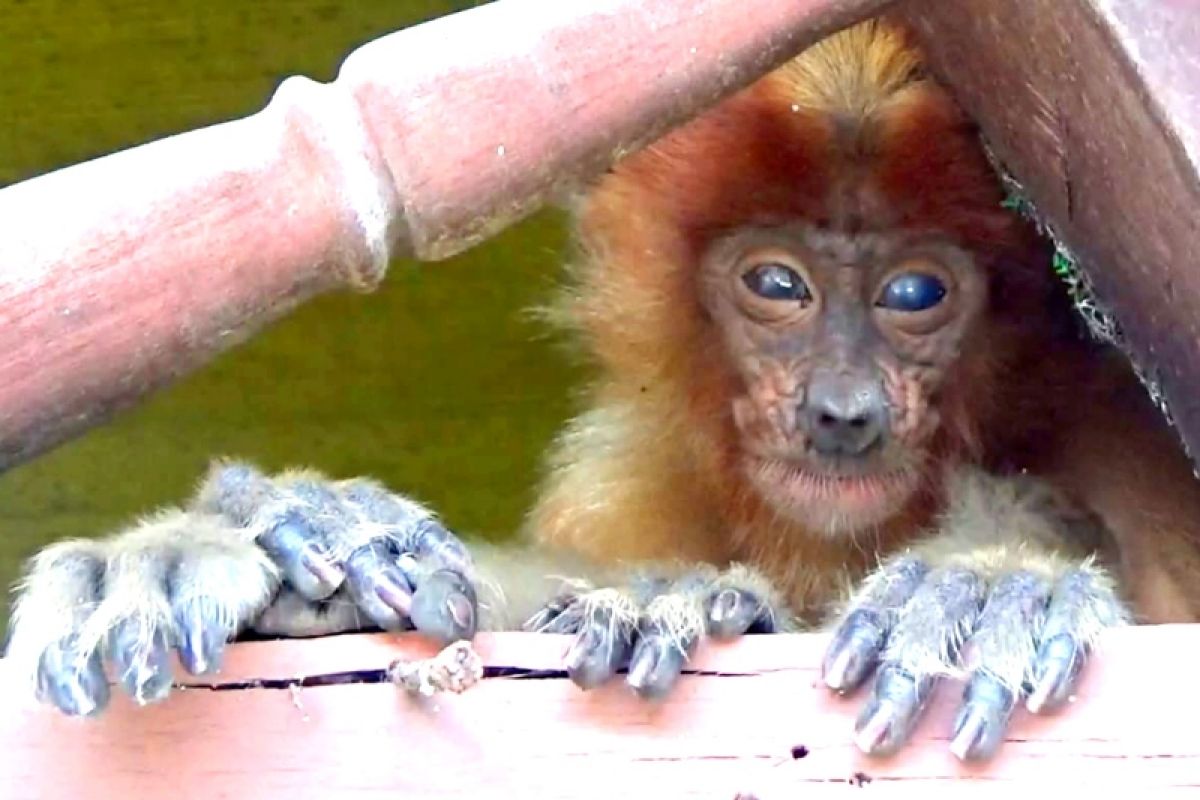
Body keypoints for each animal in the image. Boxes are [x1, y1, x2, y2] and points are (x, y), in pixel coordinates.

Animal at [7, 15, 1200, 762]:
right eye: (779, 285)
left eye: (916, 292)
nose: (843, 412)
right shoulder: (622, 474)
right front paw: (280, 554)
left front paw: (991, 586)